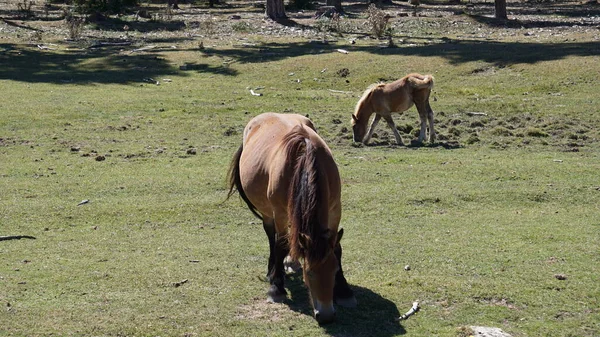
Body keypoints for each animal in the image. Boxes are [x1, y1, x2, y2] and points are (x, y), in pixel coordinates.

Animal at [226, 112, 356, 322]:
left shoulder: (335, 209)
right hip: (268, 212)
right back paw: (273, 269)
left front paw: (344, 291)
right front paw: (276, 288)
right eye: (309, 273)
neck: (305, 160)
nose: (326, 315)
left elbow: (336, 248)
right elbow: (281, 244)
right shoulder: (280, 212)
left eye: (335, 270)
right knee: (271, 235)